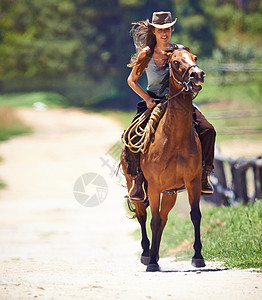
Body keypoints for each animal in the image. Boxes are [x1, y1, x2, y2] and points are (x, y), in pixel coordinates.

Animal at [122, 48, 206, 272]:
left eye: (195, 58)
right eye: (175, 62)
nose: (197, 74)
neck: (174, 138)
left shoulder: (192, 182)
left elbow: (195, 215)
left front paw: (198, 257)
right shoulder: (154, 187)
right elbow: (153, 221)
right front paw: (150, 262)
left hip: (170, 193)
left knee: (164, 218)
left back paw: (156, 255)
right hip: (136, 187)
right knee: (143, 217)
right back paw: (147, 255)